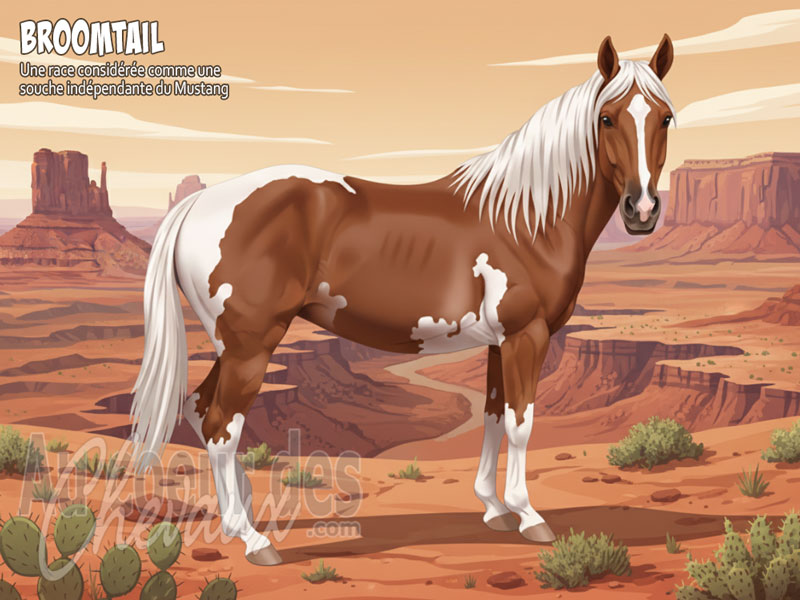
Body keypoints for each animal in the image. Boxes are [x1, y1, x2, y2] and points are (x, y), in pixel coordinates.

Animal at [131, 34, 675, 566]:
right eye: (607, 118)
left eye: (665, 117)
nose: (643, 209)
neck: (526, 218)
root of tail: (200, 202)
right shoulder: (527, 336)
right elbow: (521, 423)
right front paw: (529, 516)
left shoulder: (499, 342)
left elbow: (493, 417)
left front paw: (493, 508)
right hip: (250, 345)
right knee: (222, 426)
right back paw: (254, 540)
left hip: (233, 346)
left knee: (199, 411)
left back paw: (241, 515)